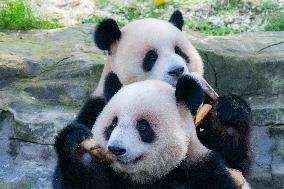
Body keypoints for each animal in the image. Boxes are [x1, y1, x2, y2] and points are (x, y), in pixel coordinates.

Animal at [53, 73, 251, 188]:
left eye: (142, 126)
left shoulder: (202, 171)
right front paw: (77, 145)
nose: (116, 149)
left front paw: (229, 117)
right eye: (113, 124)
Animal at [76, 10, 252, 176]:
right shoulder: (96, 109)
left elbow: (233, 163)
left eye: (180, 52)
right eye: (151, 57)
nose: (177, 70)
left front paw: (230, 110)